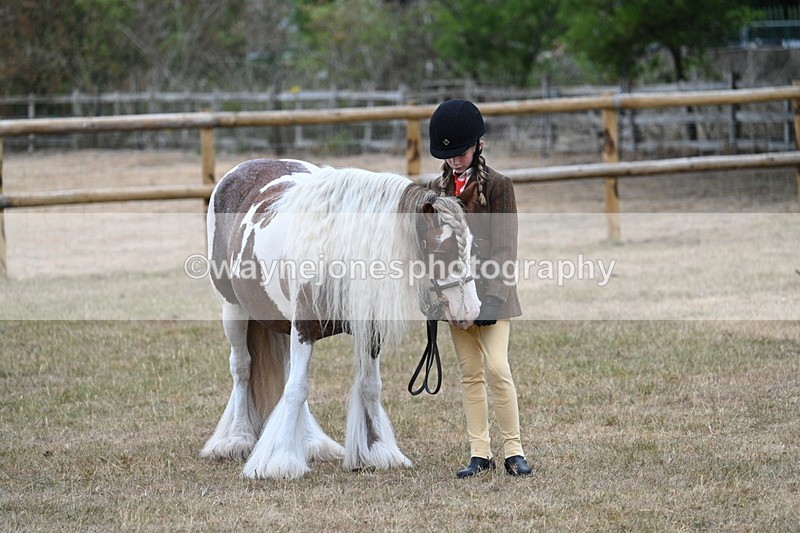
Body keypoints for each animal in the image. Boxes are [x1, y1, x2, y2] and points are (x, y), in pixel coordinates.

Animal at [199, 158, 480, 479]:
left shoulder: (369, 330)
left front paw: (378, 450)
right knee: (242, 369)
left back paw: (310, 442)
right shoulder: (303, 327)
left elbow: (370, 386)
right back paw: (237, 438)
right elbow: (296, 389)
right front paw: (281, 460)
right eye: (441, 249)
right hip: (233, 311)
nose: (470, 311)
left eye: (471, 246)